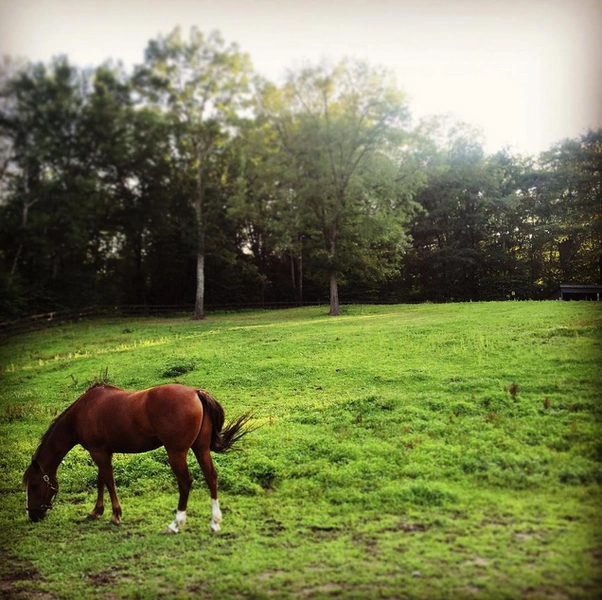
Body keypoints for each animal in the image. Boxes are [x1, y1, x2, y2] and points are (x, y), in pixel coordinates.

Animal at [22, 382, 251, 532]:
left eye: (33, 486)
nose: (33, 515)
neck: (83, 411)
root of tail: (196, 392)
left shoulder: (99, 453)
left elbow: (109, 482)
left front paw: (115, 515)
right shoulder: (103, 452)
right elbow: (101, 480)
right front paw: (96, 511)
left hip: (176, 452)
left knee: (185, 482)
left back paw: (176, 524)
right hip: (200, 448)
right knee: (211, 477)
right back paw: (214, 522)